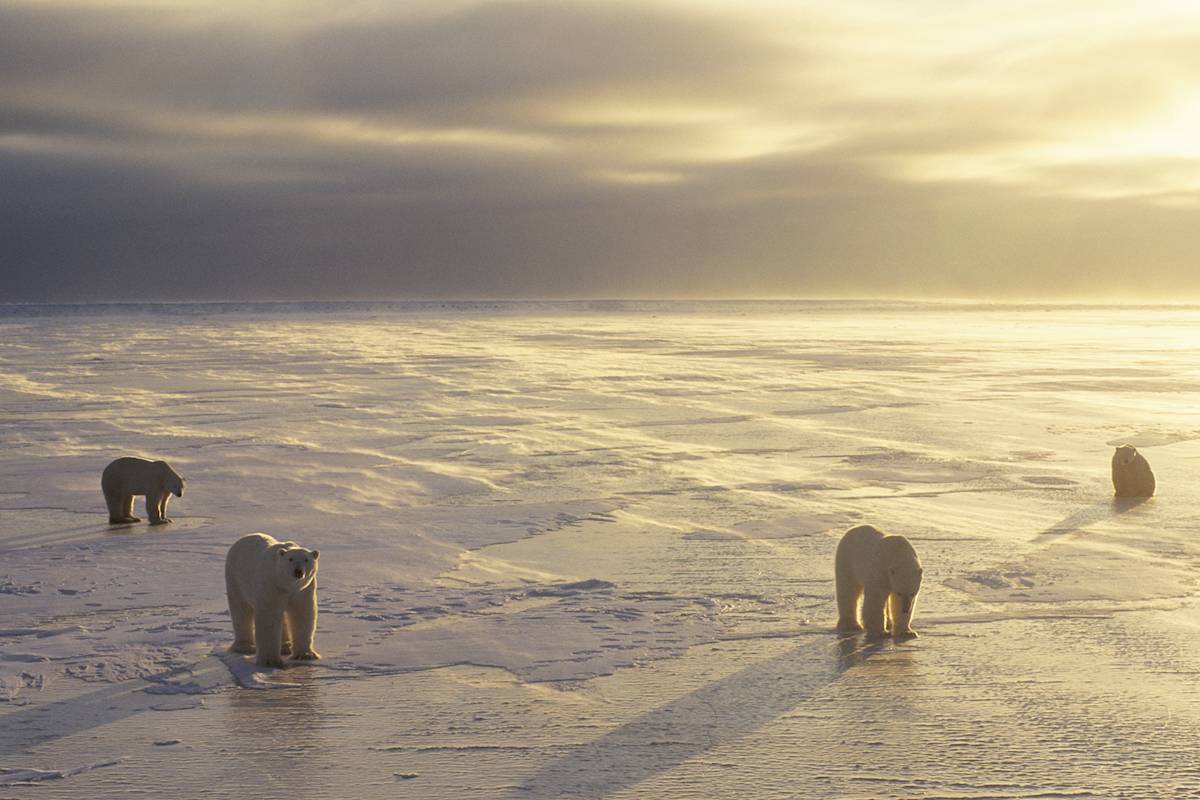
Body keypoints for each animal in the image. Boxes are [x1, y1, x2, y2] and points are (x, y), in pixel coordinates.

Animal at [225, 532, 321, 669]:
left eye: (306, 560)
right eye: (290, 559)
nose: (298, 571)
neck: (285, 585)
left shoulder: (303, 590)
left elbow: (302, 614)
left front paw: (305, 655)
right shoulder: (271, 585)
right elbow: (269, 616)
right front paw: (270, 661)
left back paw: (286, 647)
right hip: (236, 578)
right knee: (241, 610)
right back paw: (245, 647)